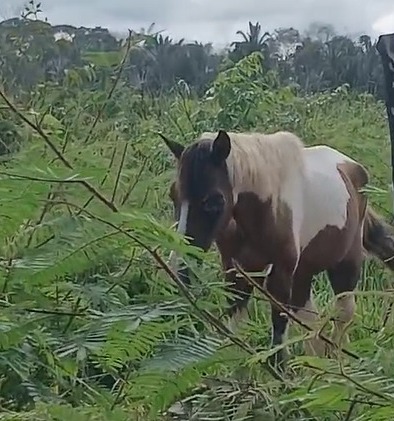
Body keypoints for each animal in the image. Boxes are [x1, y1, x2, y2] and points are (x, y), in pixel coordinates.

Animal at [159, 130, 394, 366]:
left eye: (214, 201)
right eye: (173, 195)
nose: (178, 267)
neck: (264, 208)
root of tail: (352, 167)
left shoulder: (280, 272)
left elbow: (278, 334)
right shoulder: (236, 271)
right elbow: (236, 328)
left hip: (345, 266)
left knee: (342, 317)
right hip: (302, 274)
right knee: (313, 324)